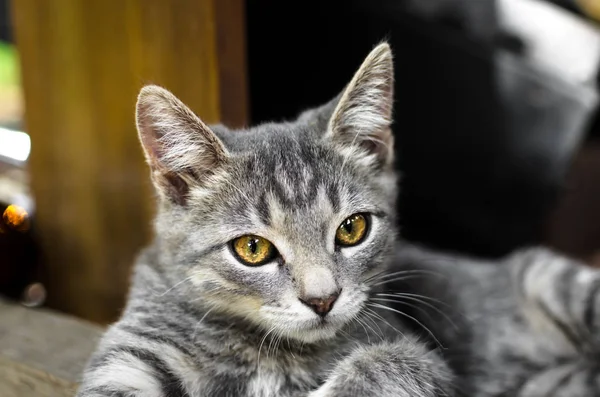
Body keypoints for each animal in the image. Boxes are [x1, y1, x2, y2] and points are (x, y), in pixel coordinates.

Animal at [77, 41, 600, 394]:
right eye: (252, 249)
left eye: (352, 229)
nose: (323, 299)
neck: (274, 351)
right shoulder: (134, 351)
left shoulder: (416, 355)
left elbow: (379, 367)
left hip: (551, 280)